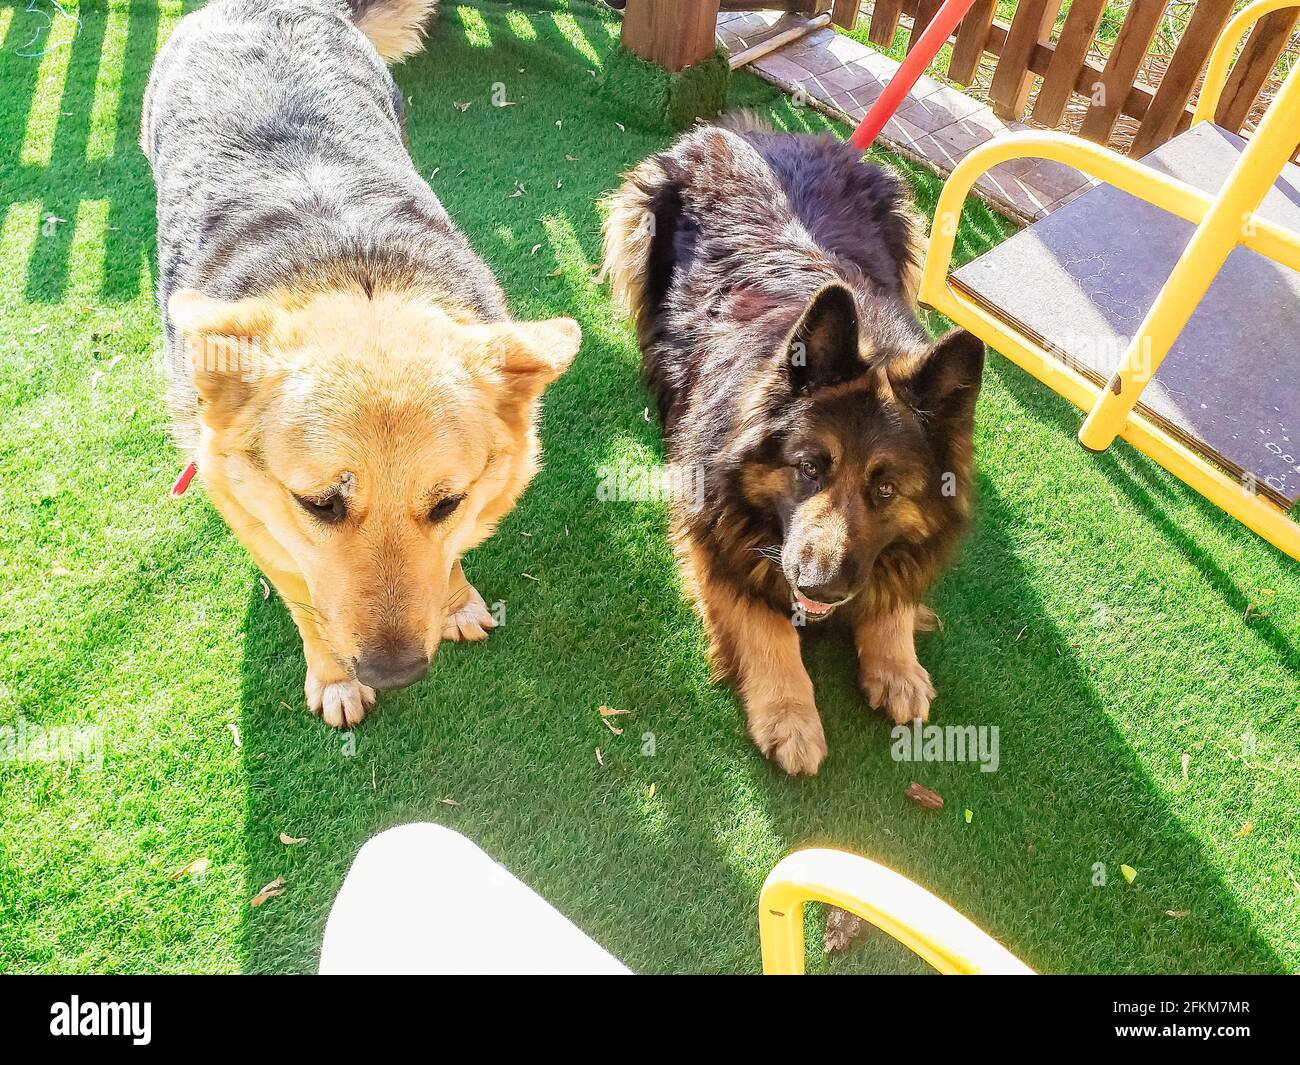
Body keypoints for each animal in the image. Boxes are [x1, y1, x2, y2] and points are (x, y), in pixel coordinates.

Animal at [141, 0, 579, 728]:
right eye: (319, 504)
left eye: (447, 502)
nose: (396, 674)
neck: (354, 274)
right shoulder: (261, 523)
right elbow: (305, 603)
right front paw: (333, 677)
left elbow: (450, 558)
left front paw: (457, 600)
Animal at [603, 120, 977, 775]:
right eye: (809, 467)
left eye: (886, 488)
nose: (821, 587)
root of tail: (761, 133)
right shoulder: (716, 533)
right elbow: (765, 625)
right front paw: (789, 713)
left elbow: (892, 593)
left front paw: (897, 662)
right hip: (637, 224)